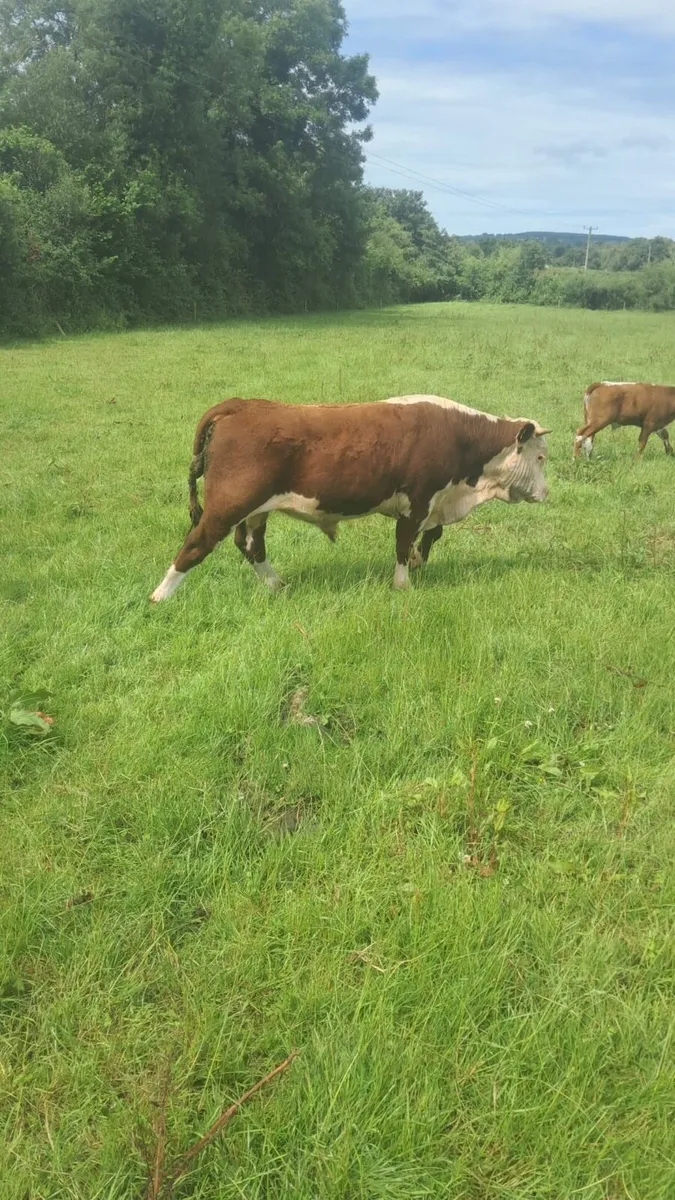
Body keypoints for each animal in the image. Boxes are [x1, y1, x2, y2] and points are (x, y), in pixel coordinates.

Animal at [150, 394, 550, 601]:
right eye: (542, 457)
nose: (547, 493)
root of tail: (240, 404)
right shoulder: (418, 500)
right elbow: (404, 543)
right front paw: (403, 584)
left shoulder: (433, 504)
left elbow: (429, 536)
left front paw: (419, 562)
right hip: (227, 504)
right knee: (196, 544)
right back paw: (160, 597)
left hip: (255, 510)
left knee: (250, 545)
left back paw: (277, 585)